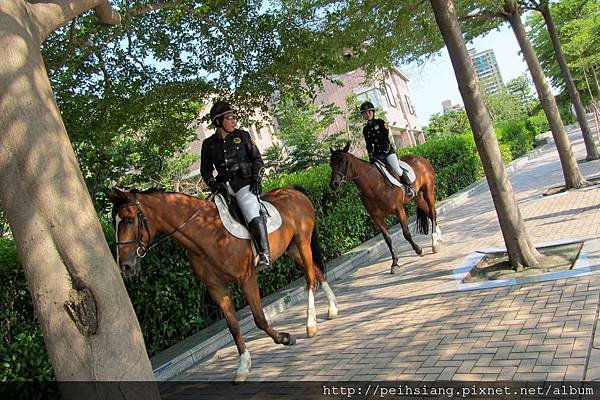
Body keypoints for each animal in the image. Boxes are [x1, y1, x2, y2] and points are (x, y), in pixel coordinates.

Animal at [108, 186, 338, 382]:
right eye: (113, 223)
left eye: (129, 219)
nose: (125, 266)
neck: (206, 235)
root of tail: (292, 191)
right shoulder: (216, 289)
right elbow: (233, 326)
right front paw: (243, 366)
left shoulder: (247, 279)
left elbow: (259, 318)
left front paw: (284, 338)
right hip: (292, 249)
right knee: (318, 273)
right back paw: (332, 309)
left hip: (302, 242)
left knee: (310, 278)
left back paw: (311, 324)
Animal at [328, 141, 440, 276]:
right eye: (331, 164)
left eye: (343, 161)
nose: (334, 184)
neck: (374, 185)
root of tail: (420, 158)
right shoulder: (377, 217)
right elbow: (388, 239)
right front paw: (395, 263)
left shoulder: (399, 210)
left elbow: (406, 233)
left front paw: (418, 250)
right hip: (417, 197)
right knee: (429, 213)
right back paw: (438, 236)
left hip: (428, 191)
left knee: (432, 213)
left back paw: (435, 243)